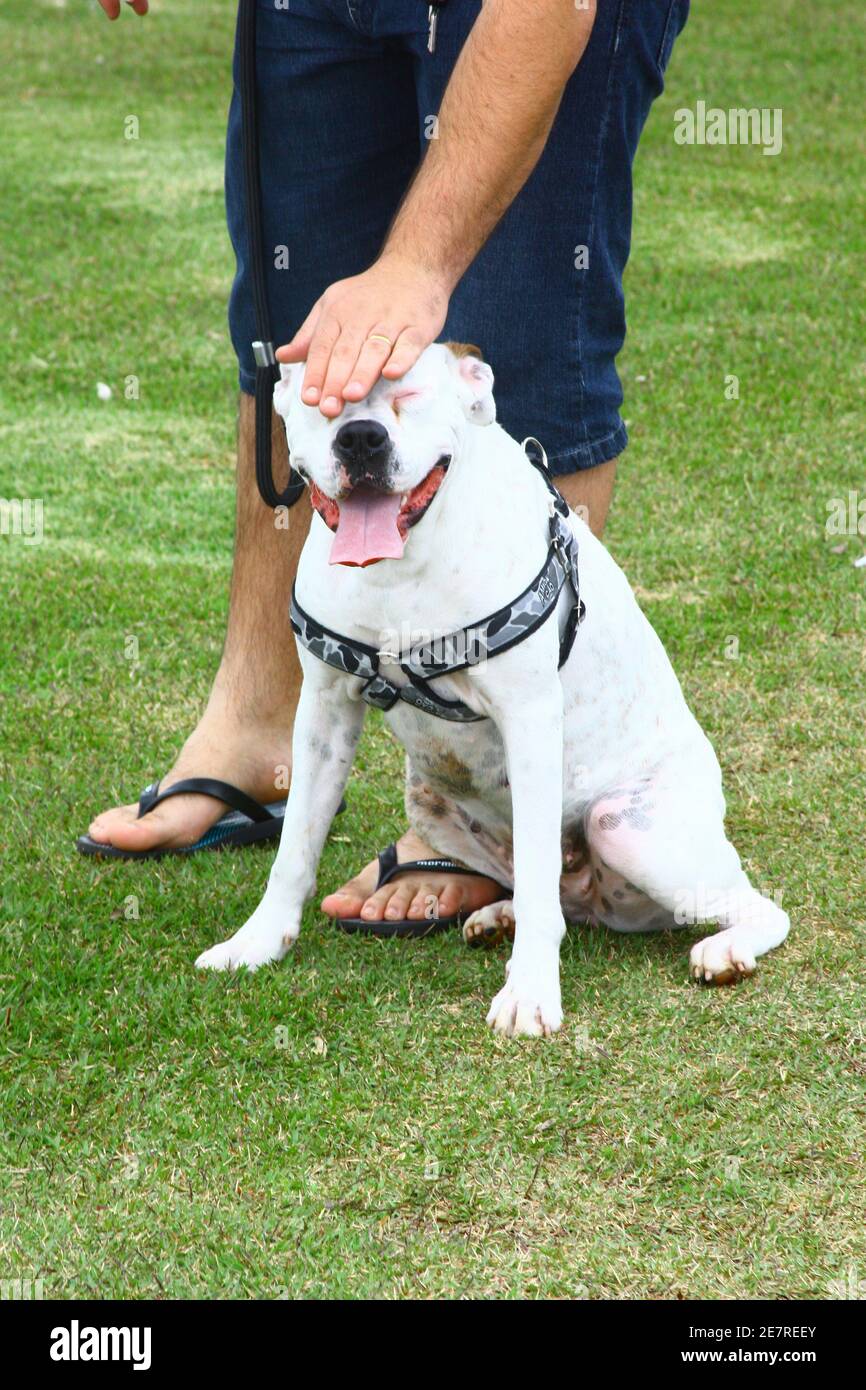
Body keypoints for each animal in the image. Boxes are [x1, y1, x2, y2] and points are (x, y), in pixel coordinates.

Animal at [198, 341, 795, 1039]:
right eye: (325, 402)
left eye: (408, 396)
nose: (361, 438)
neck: (401, 568)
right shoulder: (323, 712)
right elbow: (294, 848)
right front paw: (257, 942)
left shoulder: (529, 721)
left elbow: (537, 884)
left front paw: (530, 993)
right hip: (431, 804)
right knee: (552, 894)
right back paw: (496, 916)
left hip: (627, 827)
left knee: (754, 907)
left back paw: (724, 950)